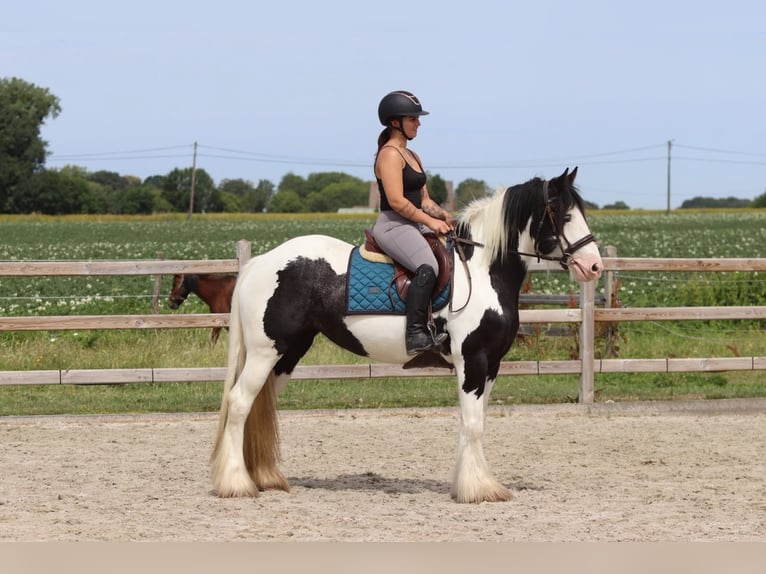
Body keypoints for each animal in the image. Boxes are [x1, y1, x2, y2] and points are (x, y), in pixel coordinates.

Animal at [210, 167, 603, 503]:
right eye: (564, 215)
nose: (595, 266)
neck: (481, 270)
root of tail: (258, 263)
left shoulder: (490, 365)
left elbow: (474, 423)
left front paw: (472, 483)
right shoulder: (473, 361)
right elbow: (473, 424)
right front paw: (478, 490)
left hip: (288, 353)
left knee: (260, 406)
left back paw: (264, 478)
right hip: (265, 351)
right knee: (240, 403)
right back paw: (236, 484)